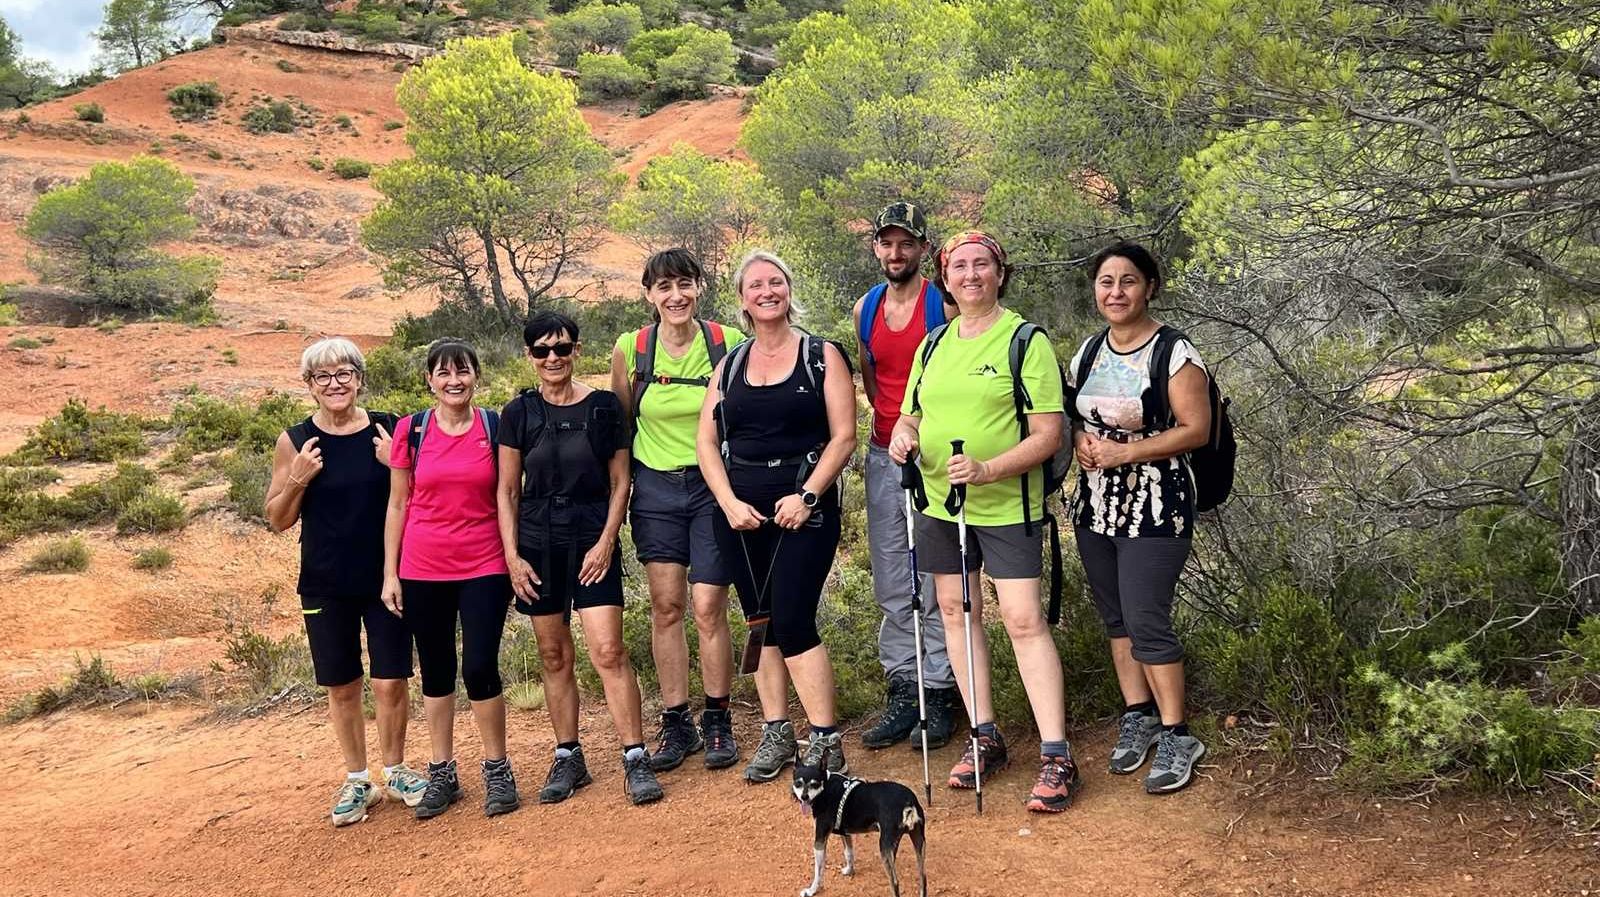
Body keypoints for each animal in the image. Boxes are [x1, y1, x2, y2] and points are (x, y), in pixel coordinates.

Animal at [787, 741, 928, 895]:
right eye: (798, 783)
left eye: (814, 784)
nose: (804, 797)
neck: (825, 788)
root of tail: (909, 802)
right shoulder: (845, 832)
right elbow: (848, 853)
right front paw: (850, 870)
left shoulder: (819, 840)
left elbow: (818, 870)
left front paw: (812, 890)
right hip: (917, 842)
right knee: (923, 879)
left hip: (885, 847)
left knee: (895, 883)